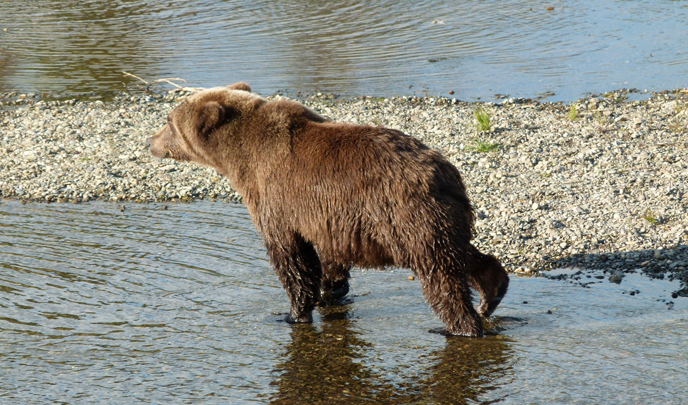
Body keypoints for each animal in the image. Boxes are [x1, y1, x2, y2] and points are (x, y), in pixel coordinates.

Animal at [148, 81, 508, 334]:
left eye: (168, 121)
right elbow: (330, 255)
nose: (150, 141)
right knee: (459, 253)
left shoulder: (276, 197)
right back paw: (492, 291)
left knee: (439, 273)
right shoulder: (329, 216)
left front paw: (293, 313)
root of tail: (442, 172)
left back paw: (461, 326)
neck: (239, 158)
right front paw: (330, 290)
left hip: (405, 214)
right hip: (440, 213)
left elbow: (291, 257)